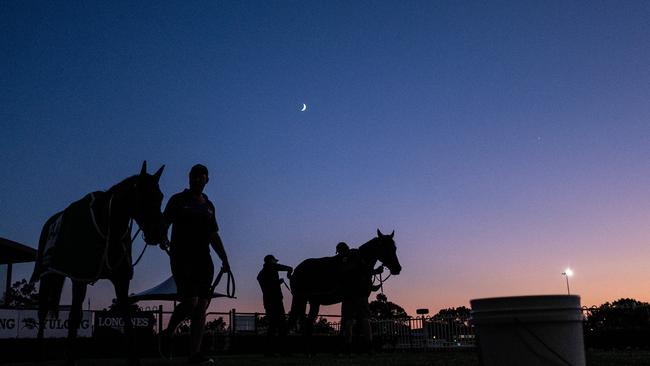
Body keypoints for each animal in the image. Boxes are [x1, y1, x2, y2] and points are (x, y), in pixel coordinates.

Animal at [30, 162, 165, 366]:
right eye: (142, 195)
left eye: (160, 196)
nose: (157, 233)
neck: (108, 225)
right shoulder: (79, 278)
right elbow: (74, 316)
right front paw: (70, 358)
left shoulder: (121, 280)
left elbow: (126, 316)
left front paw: (133, 358)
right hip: (48, 276)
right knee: (43, 311)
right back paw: (38, 353)